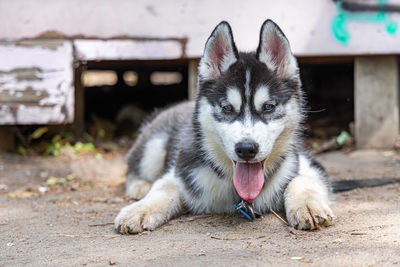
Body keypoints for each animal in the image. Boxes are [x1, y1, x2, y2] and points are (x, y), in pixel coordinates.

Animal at [115, 19, 334, 234]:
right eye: (227, 108)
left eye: (269, 107)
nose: (246, 149)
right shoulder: (182, 172)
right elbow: (163, 188)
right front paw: (139, 209)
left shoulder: (306, 163)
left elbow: (303, 180)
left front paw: (308, 206)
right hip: (153, 146)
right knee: (132, 169)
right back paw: (141, 186)